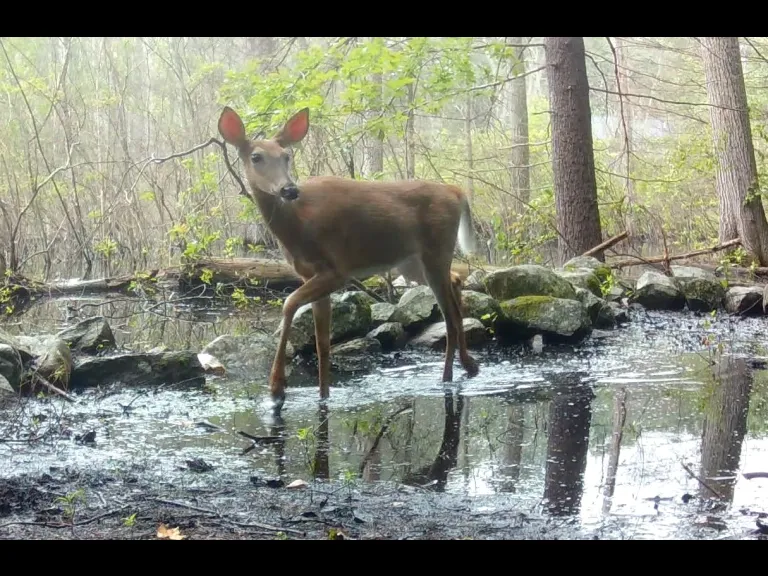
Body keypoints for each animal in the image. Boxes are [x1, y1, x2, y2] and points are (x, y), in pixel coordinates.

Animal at [217, 105, 480, 412]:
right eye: (256, 157)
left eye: (286, 156)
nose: (289, 189)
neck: (298, 226)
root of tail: (458, 192)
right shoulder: (310, 274)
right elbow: (322, 343)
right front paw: (322, 396)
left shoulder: (337, 270)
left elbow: (288, 304)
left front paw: (276, 390)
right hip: (413, 263)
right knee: (456, 281)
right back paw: (469, 365)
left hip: (436, 251)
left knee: (449, 316)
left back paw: (448, 377)